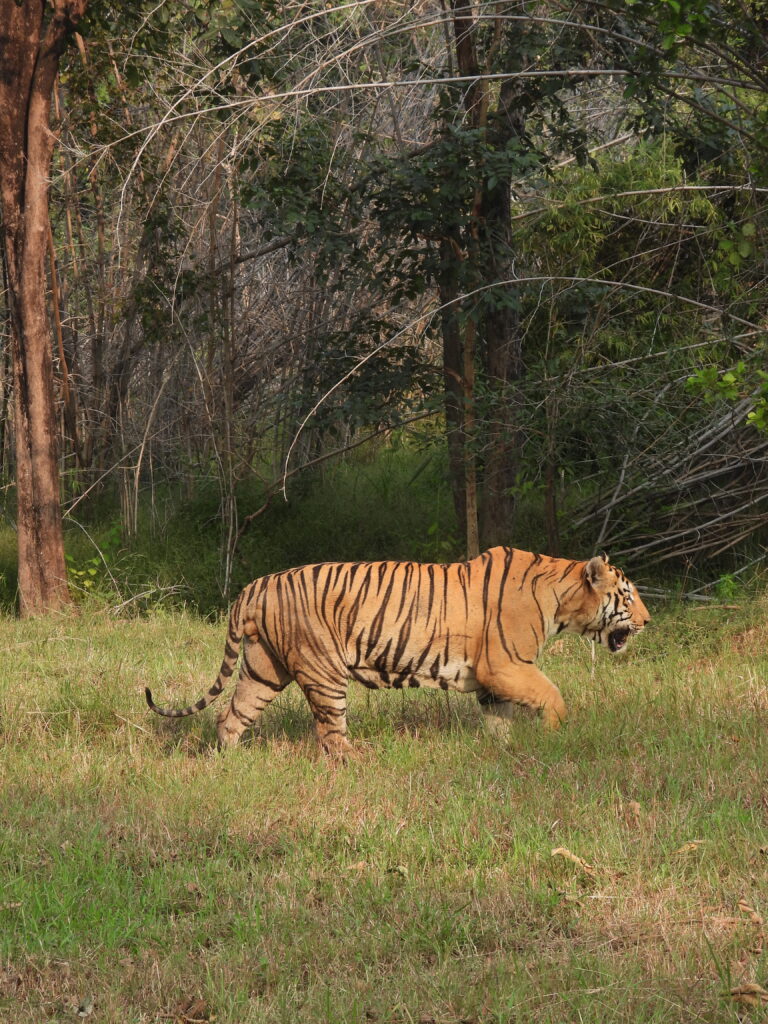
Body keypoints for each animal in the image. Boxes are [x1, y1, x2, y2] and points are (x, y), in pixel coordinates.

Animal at [145, 547, 649, 757]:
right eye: (627, 596)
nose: (648, 621)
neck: (562, 599)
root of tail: (254, 586)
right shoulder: (506, 664)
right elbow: (553, 696)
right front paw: (555, 734)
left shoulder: (494, 680)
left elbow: (498, 720)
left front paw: (502, 749)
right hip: (324, 671)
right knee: (330, 734)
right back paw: (359, 761)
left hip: (263, 667)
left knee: (230, 716)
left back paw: (231, 762)